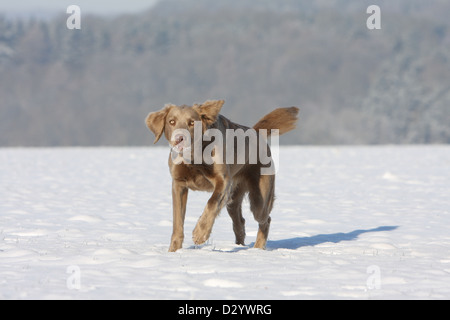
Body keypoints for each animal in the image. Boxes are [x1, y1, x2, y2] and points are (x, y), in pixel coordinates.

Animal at [146, 99, 298, 251]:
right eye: (171, 121)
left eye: (192, 122)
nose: (179, 139)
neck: (195, 156)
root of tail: (256, 133)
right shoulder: (178, 184)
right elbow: (177, 221)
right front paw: (174, 251)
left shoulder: (223, 180)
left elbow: (212, 202)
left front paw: (200, 233)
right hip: (233, 199)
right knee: (239, 221)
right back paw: (240, 245)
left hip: (259, 198)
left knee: (265, 220)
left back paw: (258, 248)